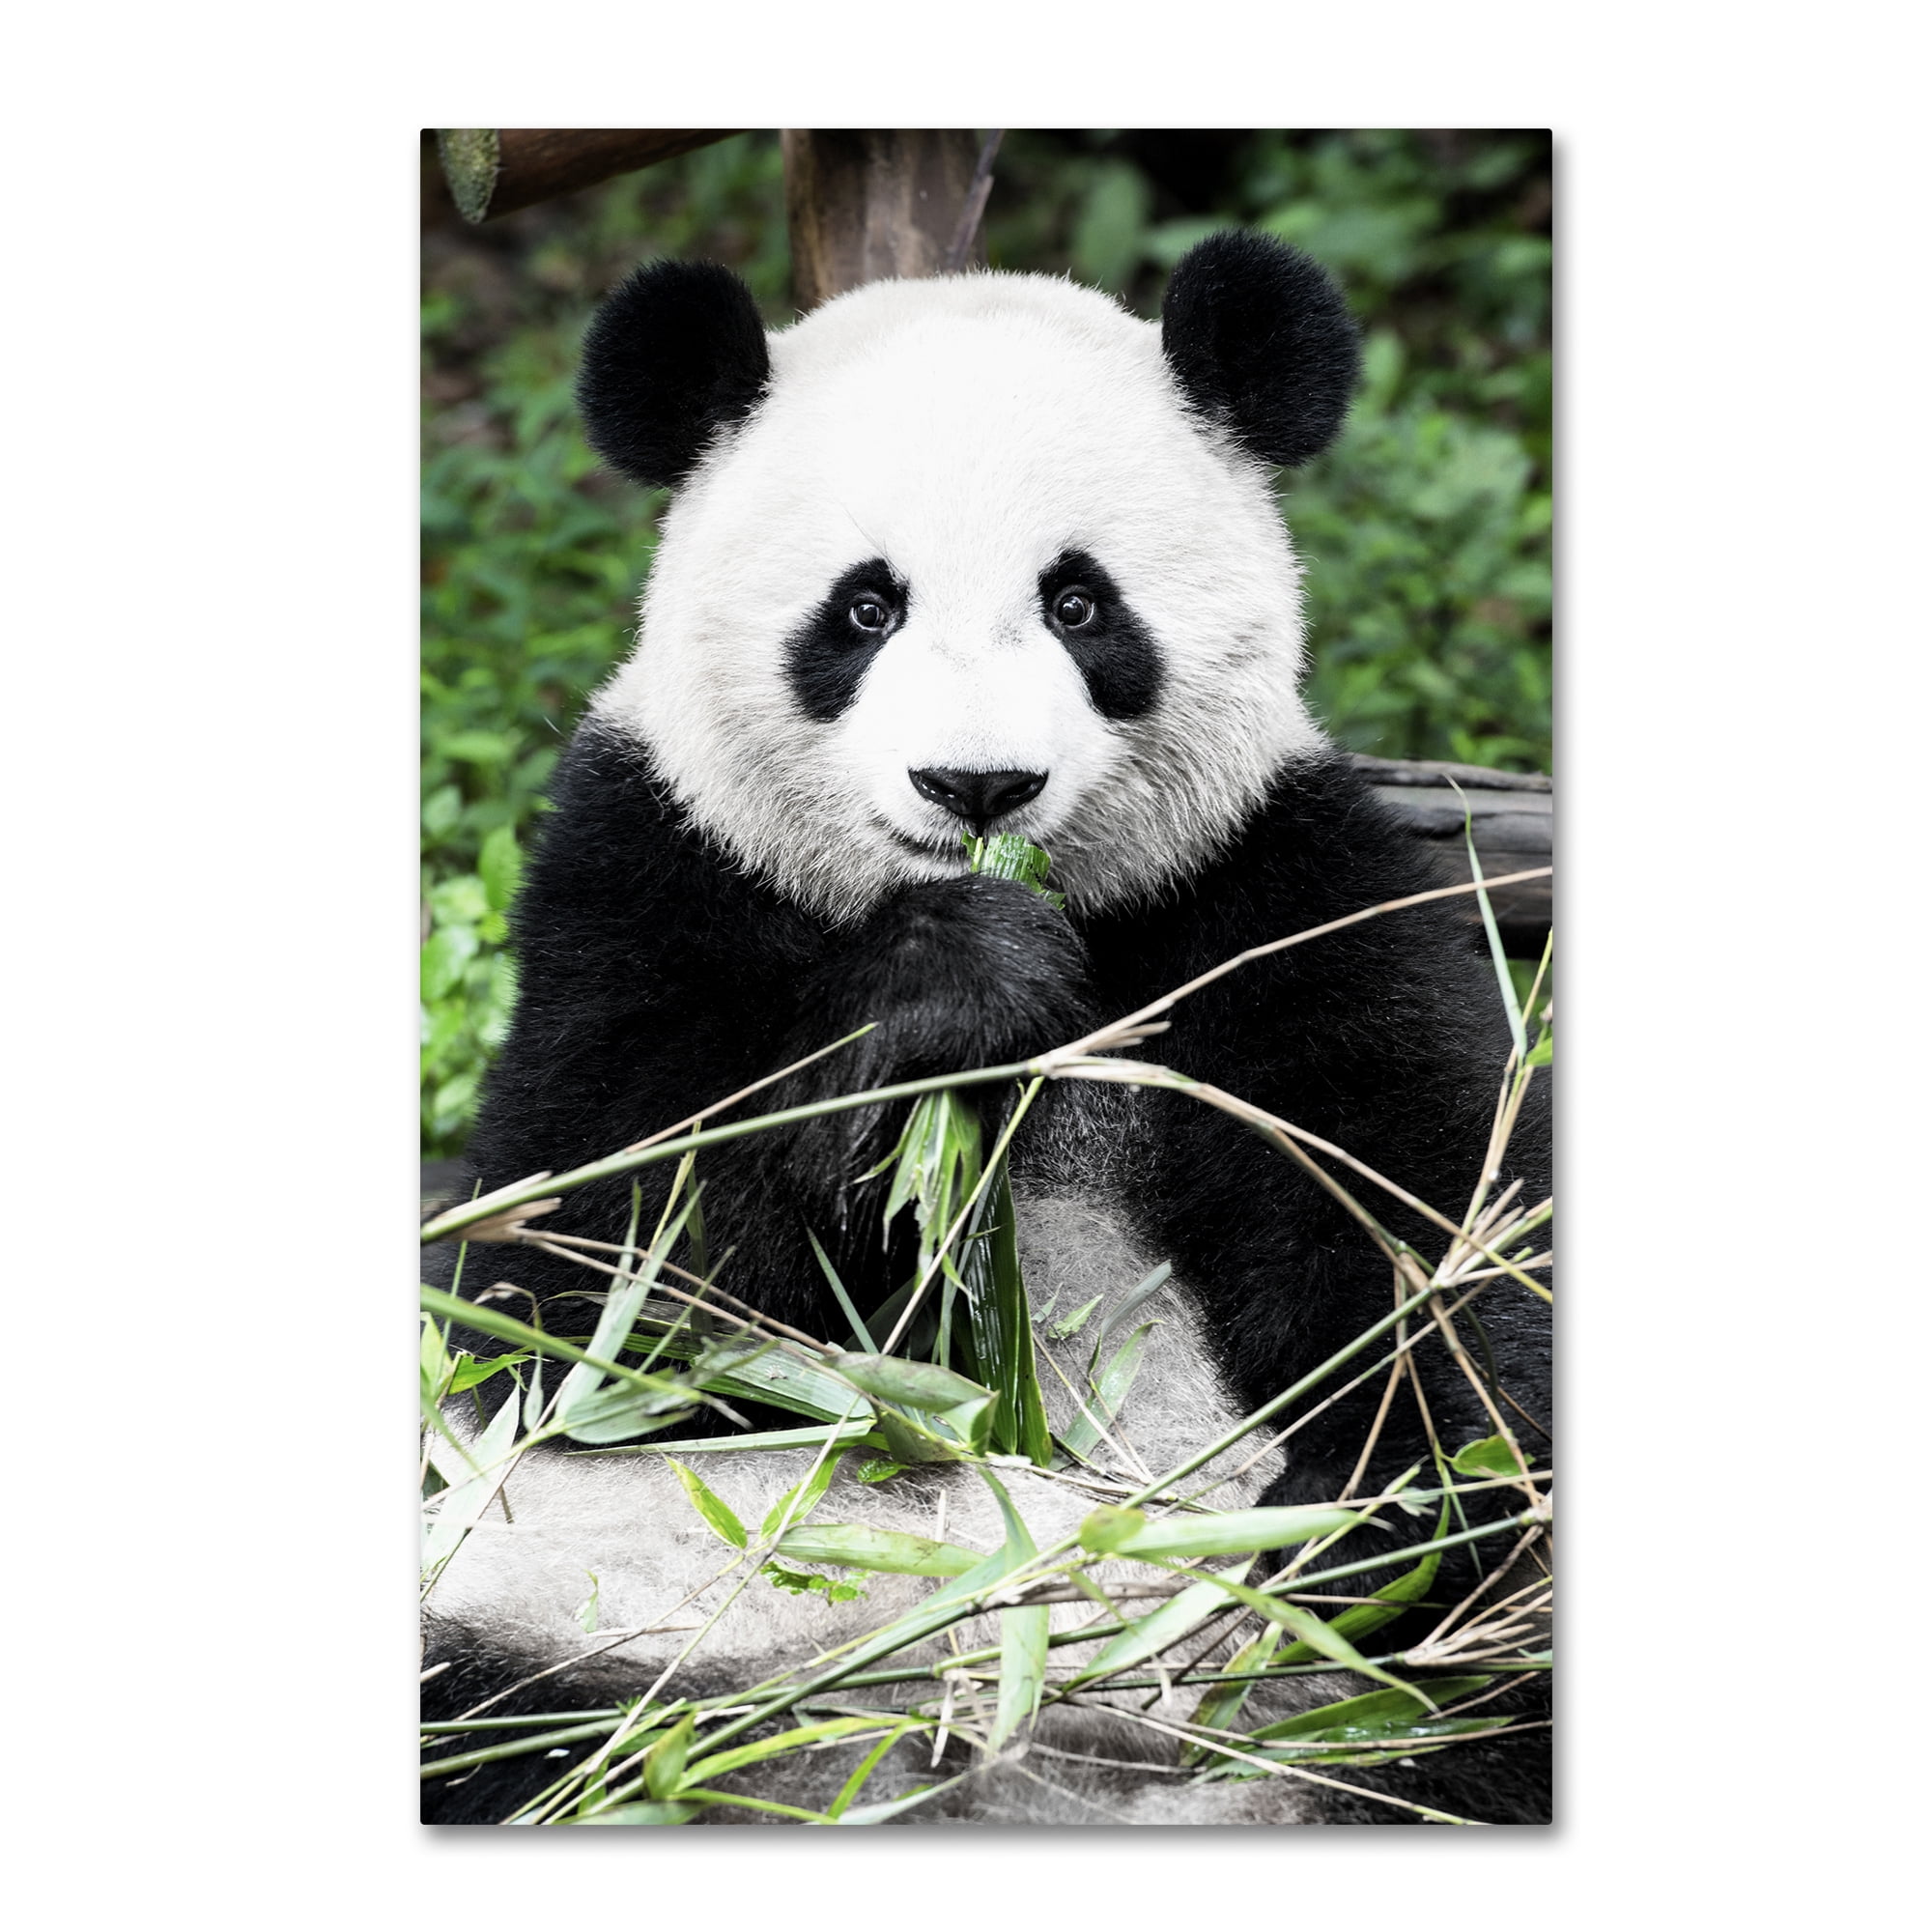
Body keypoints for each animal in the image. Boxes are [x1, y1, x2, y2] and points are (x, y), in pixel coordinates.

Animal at [420, 231, 1553, 1827]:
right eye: (863, 610)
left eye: (1080, 605)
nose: (977, 789)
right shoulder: (646, 866)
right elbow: (586, 1292)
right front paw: (952, 990)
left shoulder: (1272, 886)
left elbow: (1432, 1224)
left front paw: (1398, 1507)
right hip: (611, 1621)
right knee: (497, 1715)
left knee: (1485, 1699)